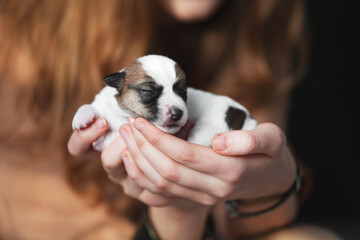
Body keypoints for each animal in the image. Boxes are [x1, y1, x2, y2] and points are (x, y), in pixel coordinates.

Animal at [72, 55, 256, 151]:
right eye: (148, 91)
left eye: (182, 91)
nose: (177, 113)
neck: (124, 113)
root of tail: (247, 117)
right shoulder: (104, 103)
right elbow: (90, 106)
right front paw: (82, 117)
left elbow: (116, 137)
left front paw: (102, 140)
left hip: (212, 125)